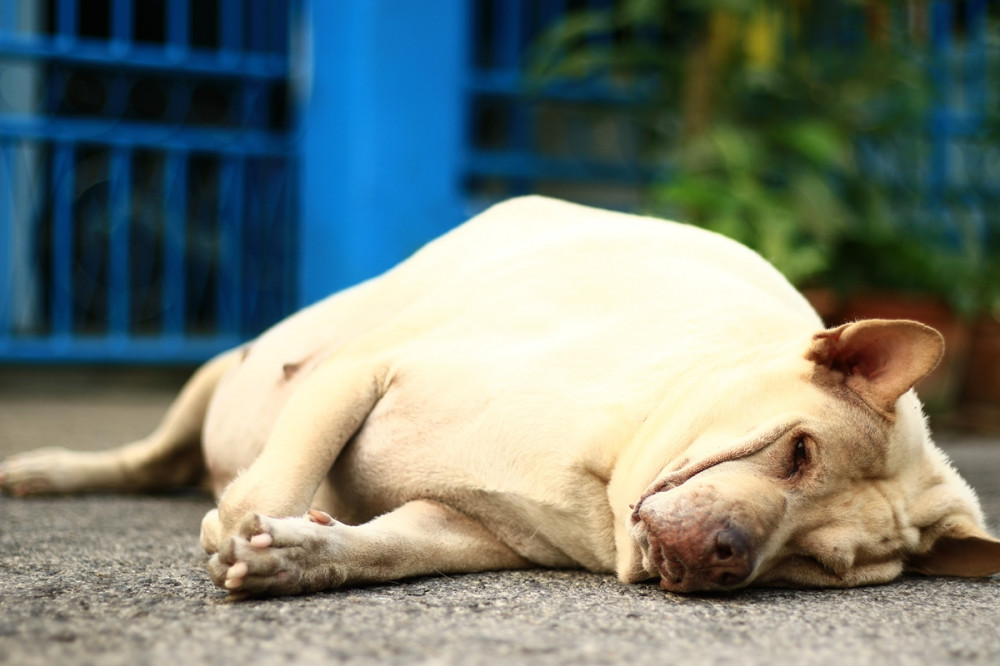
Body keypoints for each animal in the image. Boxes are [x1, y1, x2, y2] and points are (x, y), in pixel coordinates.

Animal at [1, 195, 1000, 592]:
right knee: (151, 456)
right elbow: (276, 480)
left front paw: (300, 558)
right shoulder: (360, 370)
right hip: (223, 371)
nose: (727, 559)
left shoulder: (466, 528)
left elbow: (385, 547)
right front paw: (249, 525)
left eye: (818, 566)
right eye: (798, 451)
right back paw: (51, 472)